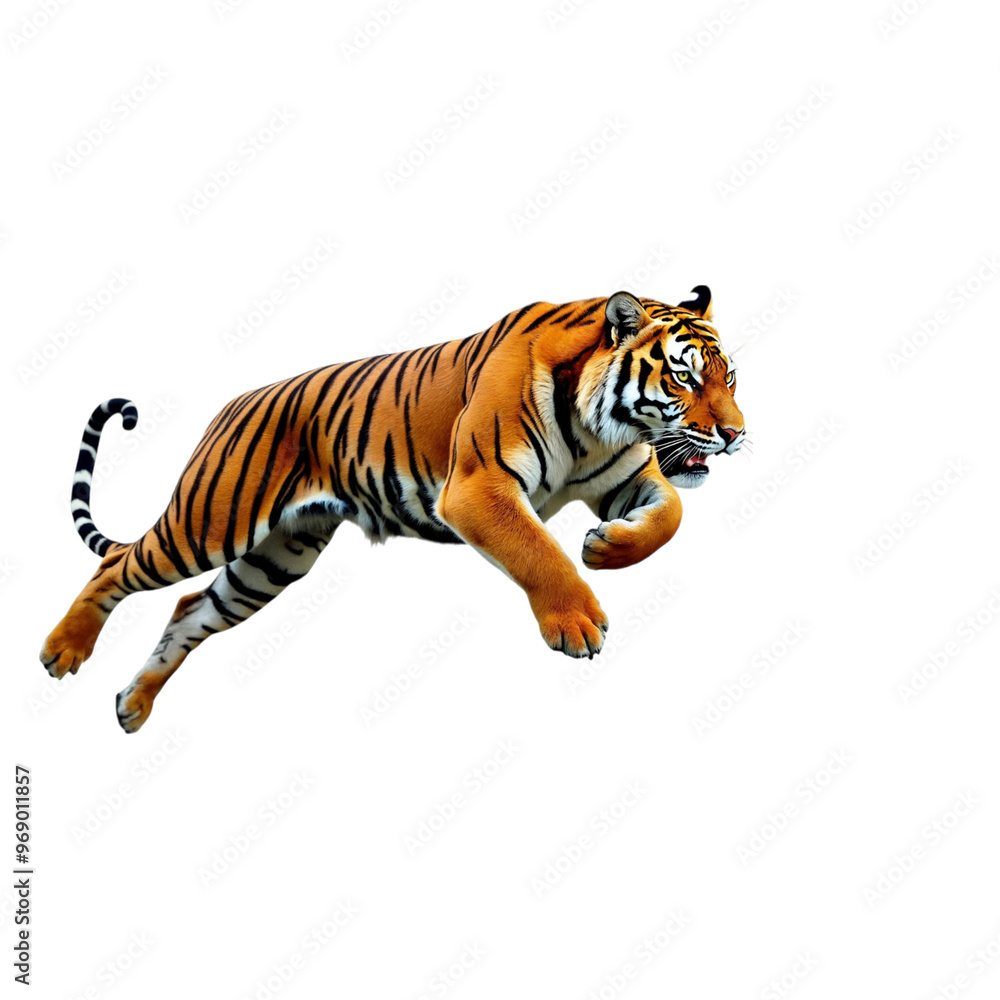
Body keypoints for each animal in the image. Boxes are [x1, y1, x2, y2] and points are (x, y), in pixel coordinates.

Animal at [40, 287, 745, 733]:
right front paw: (576, 623)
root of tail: (232, 405)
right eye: (684, 377)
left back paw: (132, 705)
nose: (737, 434)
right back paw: (62, 652)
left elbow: (670, 517)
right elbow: (536, 550)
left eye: (729, 377)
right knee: (116, 568)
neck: (598, 427)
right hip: (210, 521)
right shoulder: (478, 487)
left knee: (190, 608)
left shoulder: (625, 477)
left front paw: (606, 546)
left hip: (273, 559)